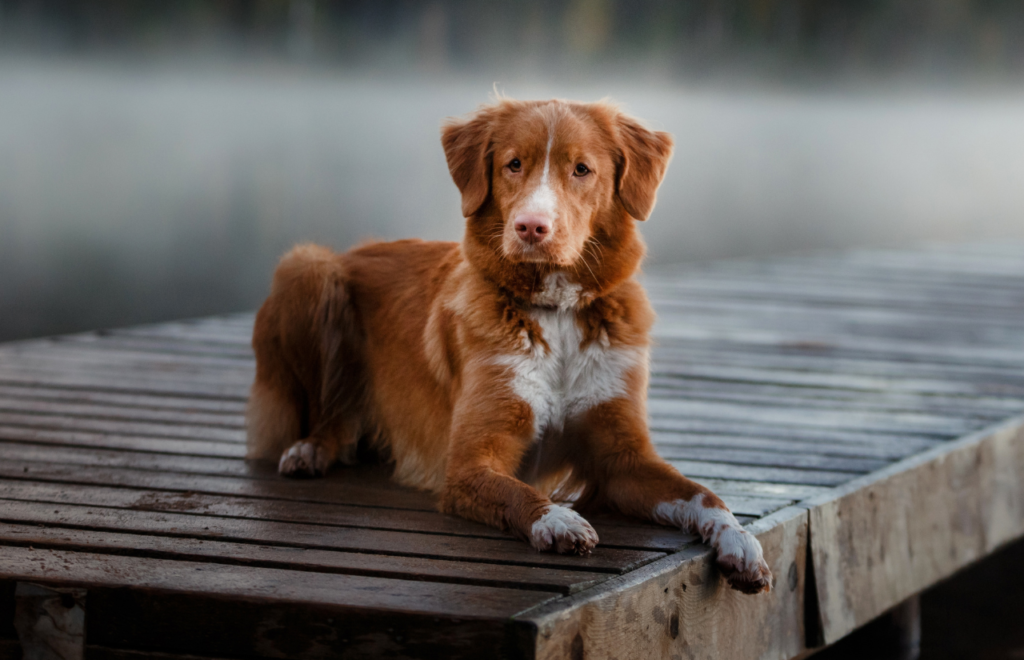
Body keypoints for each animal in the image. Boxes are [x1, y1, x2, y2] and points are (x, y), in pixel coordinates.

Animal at [247, 96, 770, 593]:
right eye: (513, 164)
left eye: (582, 169)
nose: (531, 227)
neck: (556, 312)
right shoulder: (468, 463)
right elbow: (518, 492)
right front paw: (556, 519)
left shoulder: (624, 461)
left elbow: (701, 493)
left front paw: (740, 541)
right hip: (308, 267)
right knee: (330, 413)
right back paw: (310, 449)